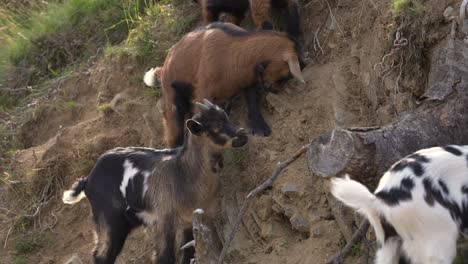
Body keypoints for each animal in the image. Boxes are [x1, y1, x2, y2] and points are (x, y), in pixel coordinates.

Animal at [61, 94, 249, 262]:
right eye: (215, 128)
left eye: (227, 118)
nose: (243, 135)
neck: (183, 173)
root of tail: (88, 180)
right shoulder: (163, 221)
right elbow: (165, 257)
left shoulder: (191, 220)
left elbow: (188, 253)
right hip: (109, 220)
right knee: (102, 255)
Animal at [144, 21, 304, 147]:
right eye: (287, 74)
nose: (276, 89)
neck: (231, 54)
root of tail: (164, 68)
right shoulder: (203, 92)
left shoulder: (248, 80)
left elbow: (252, 102)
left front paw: (260, 128)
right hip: (172, 101)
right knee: (174, 134)